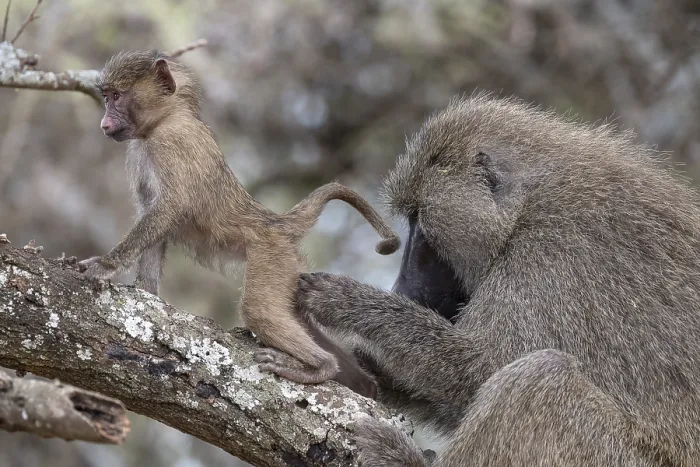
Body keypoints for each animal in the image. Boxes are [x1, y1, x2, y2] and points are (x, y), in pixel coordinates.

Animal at [77, 50, 399, 397]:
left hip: (271, 255)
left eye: (117, 97)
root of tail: (274, 222)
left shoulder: (170, 144)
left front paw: (106, 265)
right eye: (107, 97)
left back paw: (319, 368)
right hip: (289, 267)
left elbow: (166, 211)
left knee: (259, 309)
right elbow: (155, 221)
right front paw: (145, 292)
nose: (104, 123)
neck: (168, 117)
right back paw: (365, 386)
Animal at [293, 93, 700, 466]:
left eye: (419, 222)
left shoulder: (552, 255)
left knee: (542, 376)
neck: (529, 204)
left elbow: (481, 370)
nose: (401, 288)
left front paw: (350, 302)